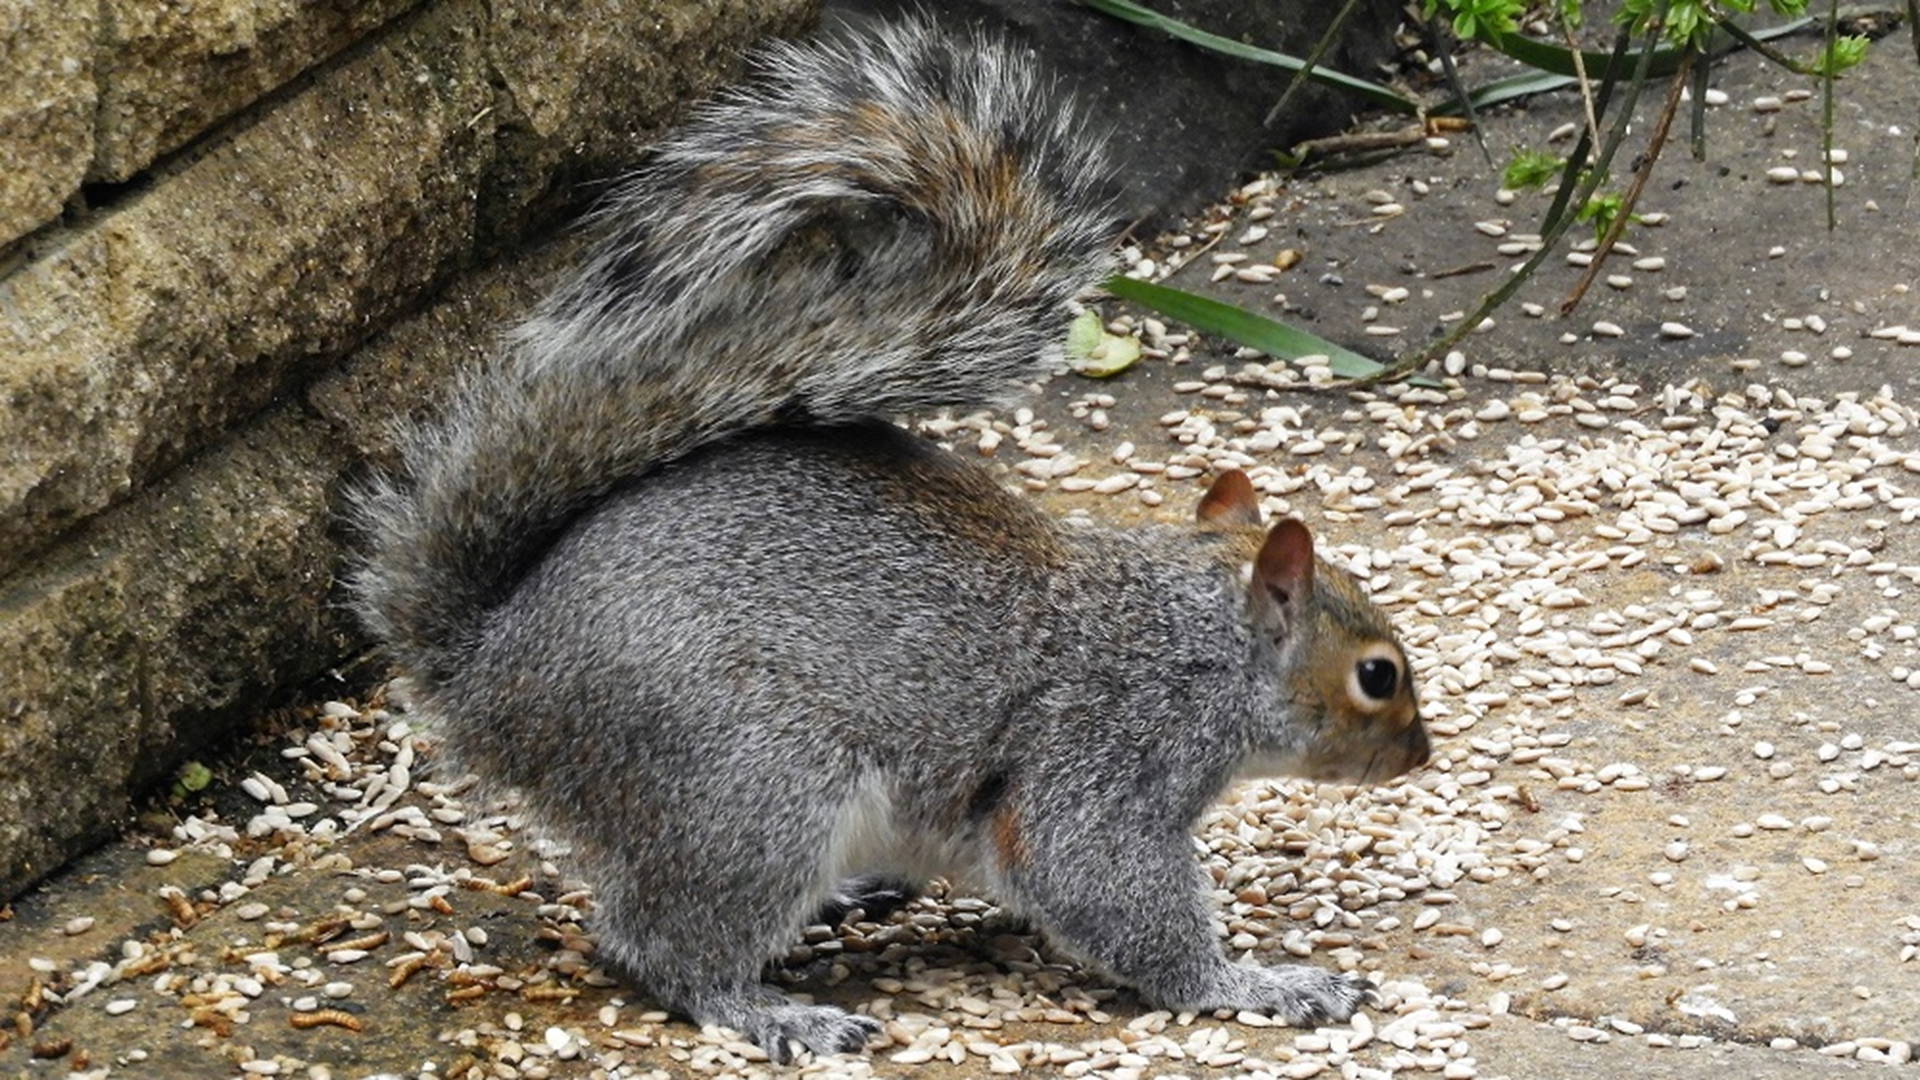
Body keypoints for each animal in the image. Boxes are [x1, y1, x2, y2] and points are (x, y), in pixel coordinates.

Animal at [350, 17, 1429, 1064]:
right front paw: (1261, 983)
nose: (1419, 757)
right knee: (653, 945)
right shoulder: (1108, 750)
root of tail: (491, 674)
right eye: (1377, 676)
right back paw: (776, 1013)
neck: (1198, 642)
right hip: (749, 783)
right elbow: (1095, 876)